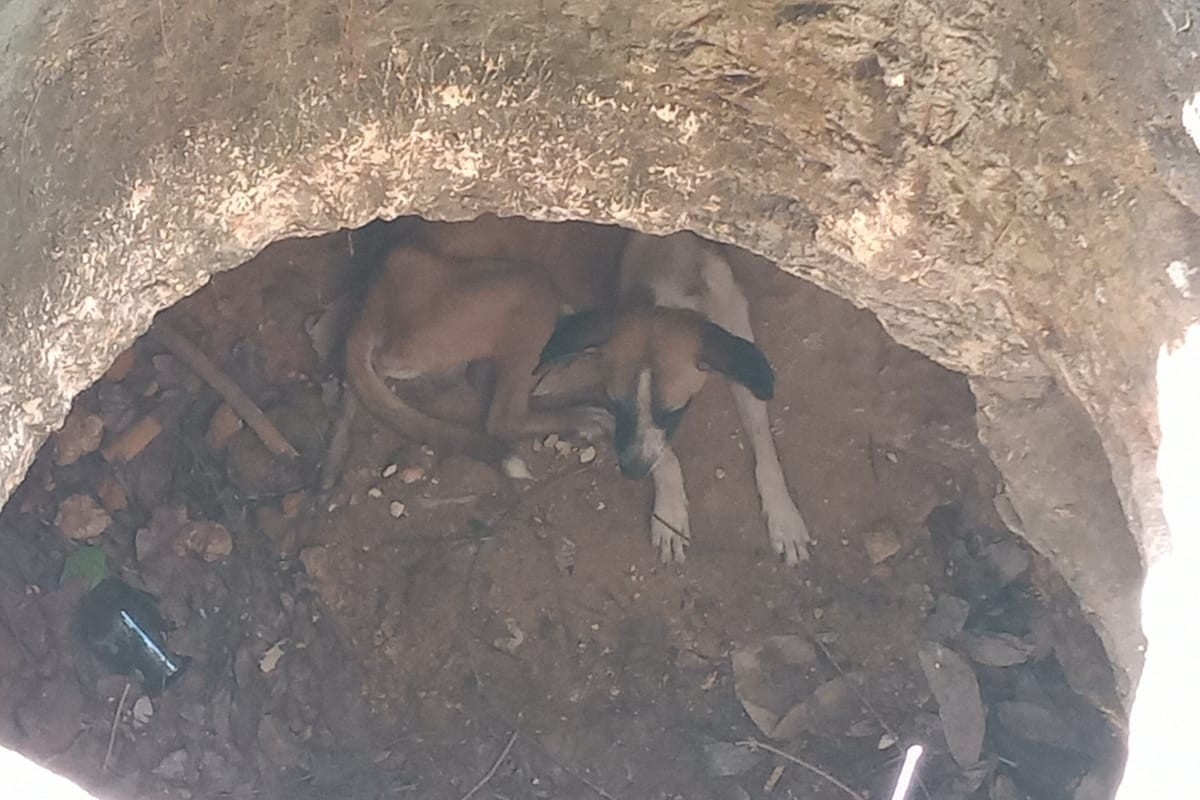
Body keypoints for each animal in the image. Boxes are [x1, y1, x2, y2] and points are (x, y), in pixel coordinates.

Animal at [324, 212, 811, 563]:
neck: (672, 278)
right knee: (503, 415)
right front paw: (669, 509)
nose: (631, 471)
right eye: (619, 402)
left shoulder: (736, 335)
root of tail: (373, 295)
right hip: (528, 285)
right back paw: (575, 408)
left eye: (673, 411)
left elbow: (762, 438)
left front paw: (784, 517)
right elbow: (665, 453)